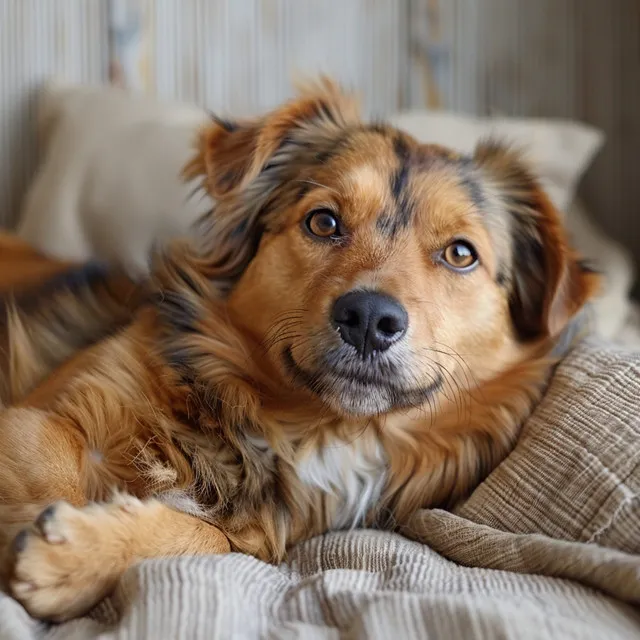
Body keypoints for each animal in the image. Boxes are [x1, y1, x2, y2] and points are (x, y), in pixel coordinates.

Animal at [1, 79, 600, 620]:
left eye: (459, 253)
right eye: (323, 221)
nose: (369, 319)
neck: (300, 429)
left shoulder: (260, 534)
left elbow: (207, 537)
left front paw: (74, 556)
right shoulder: (35, 418)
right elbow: (56, 473)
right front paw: (59, 548)